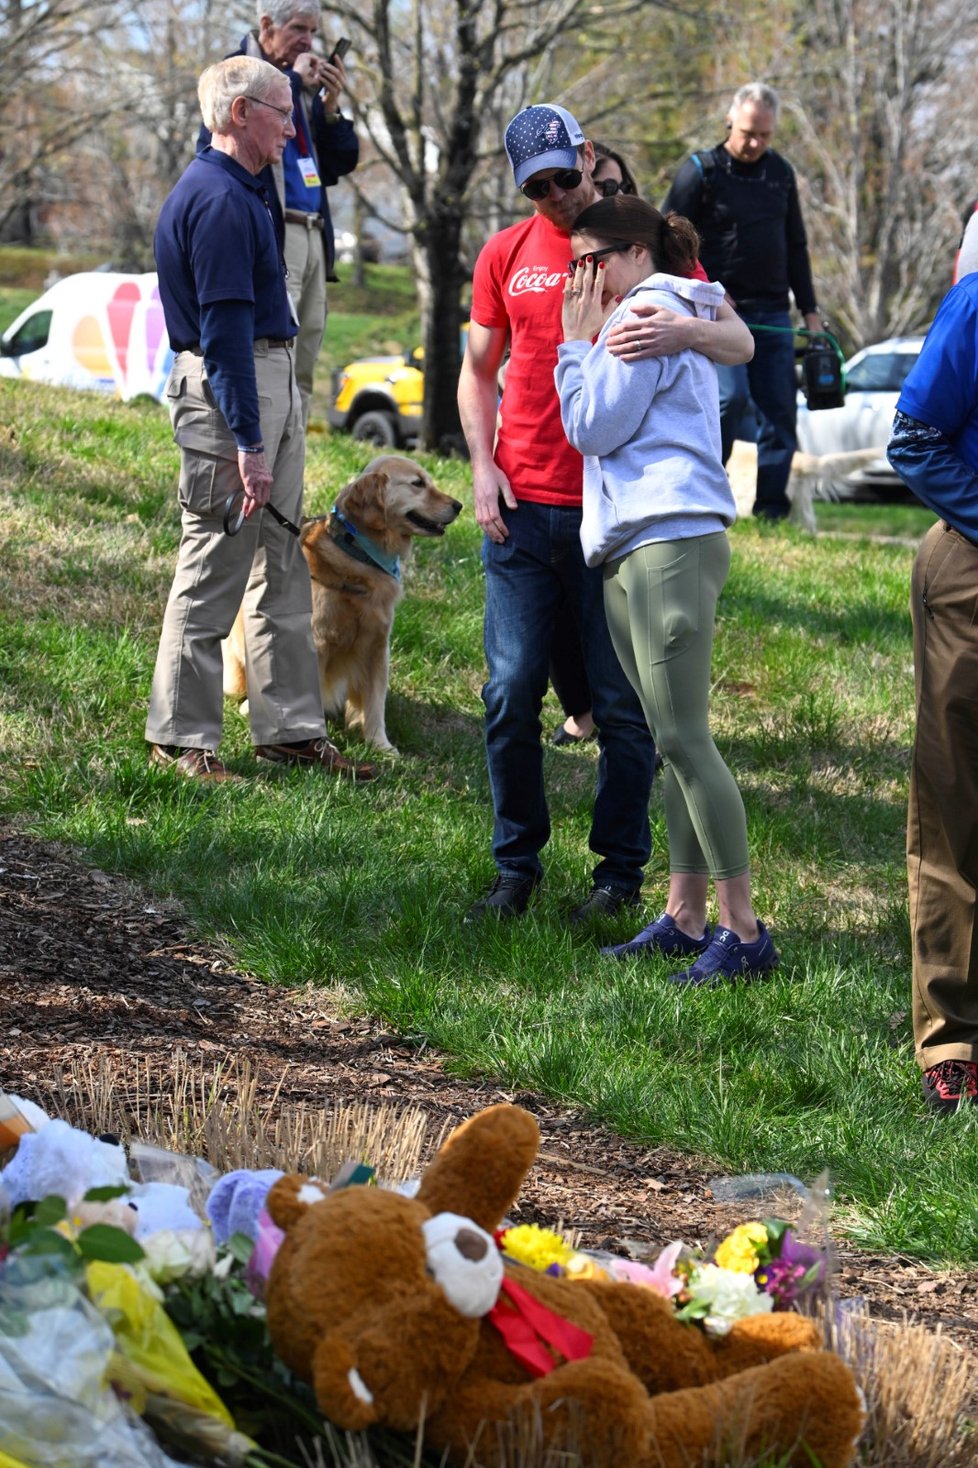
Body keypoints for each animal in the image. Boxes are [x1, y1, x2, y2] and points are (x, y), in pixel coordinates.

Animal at [223, 452, 464, 751]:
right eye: (418, 483)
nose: (459, 506)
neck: (357, 553)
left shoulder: (377, 646)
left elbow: (375, 702)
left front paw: (381, 745)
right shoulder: (317, 643)